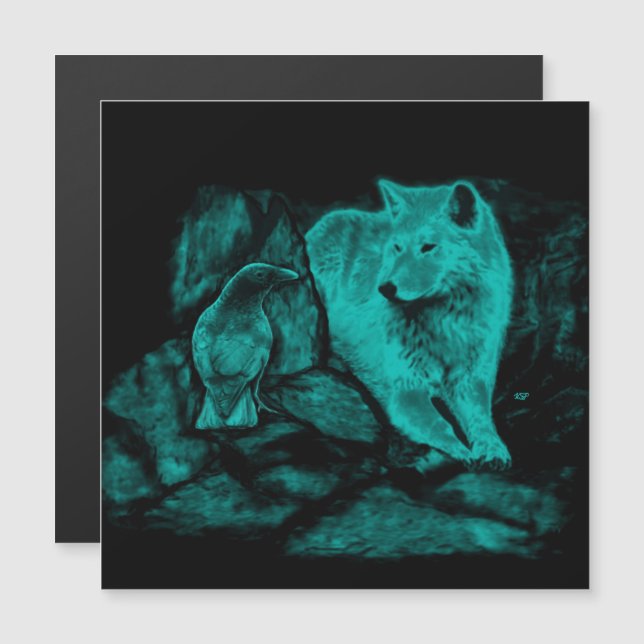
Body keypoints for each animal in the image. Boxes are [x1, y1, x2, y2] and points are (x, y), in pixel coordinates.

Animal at [305, 180, 514, 469]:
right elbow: (441, 424)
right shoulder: (405, 391)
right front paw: (462, 452)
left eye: (428, 247)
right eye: (397, 247)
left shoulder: (469, 381)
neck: (442, 324)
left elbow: (482, 421)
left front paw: (493, 449)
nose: (384, 288)